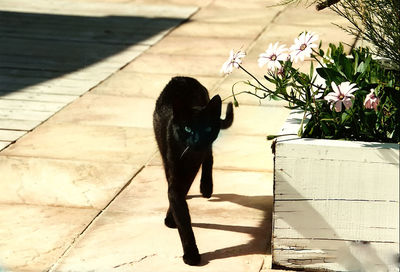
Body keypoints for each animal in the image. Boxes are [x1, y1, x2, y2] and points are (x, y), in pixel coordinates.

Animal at [153, 76, 234, 266]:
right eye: (188, 129)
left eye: (207, 129)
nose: (198, 141)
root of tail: (182, 78)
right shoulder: (174, 170)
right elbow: (181, 213)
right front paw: (191, 254)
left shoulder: (193, 166)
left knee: (209, 158)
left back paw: (206, 188)